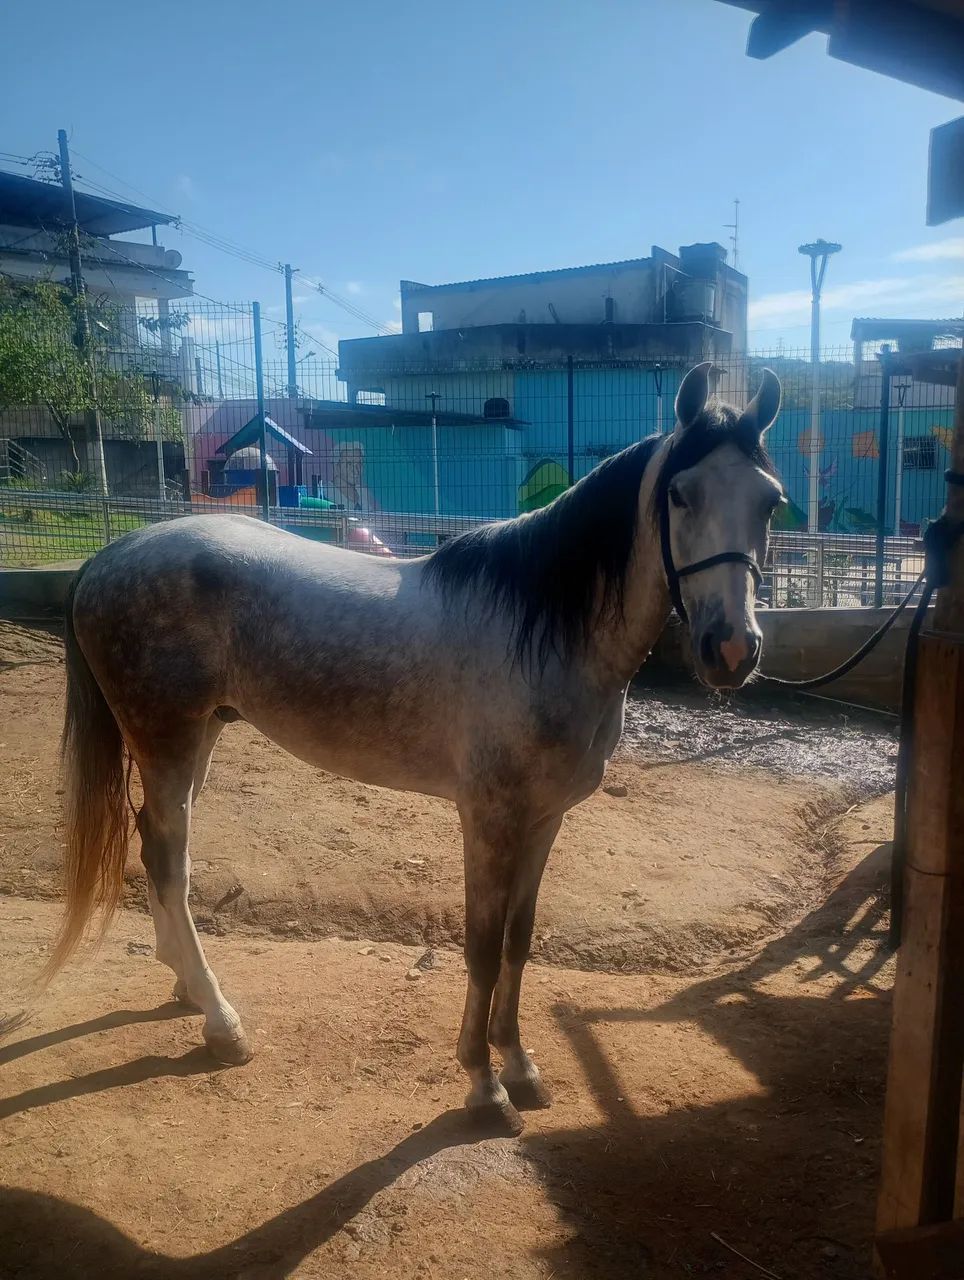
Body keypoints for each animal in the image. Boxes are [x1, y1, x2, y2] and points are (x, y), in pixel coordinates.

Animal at [43, 360, 784, 1133]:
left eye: (771, 502)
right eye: (680, 493)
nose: (732, 649)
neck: (543, 634)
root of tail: (107, 557)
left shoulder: (545, 818)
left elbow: (519, 940)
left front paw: (521, 1067)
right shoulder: (488, 819)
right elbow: (483, 948)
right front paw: (484, 1086)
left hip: (199, 737)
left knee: (157, 845)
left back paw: (186, 988)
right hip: (166, 739)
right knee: (167, 859)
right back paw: (222, 1024)